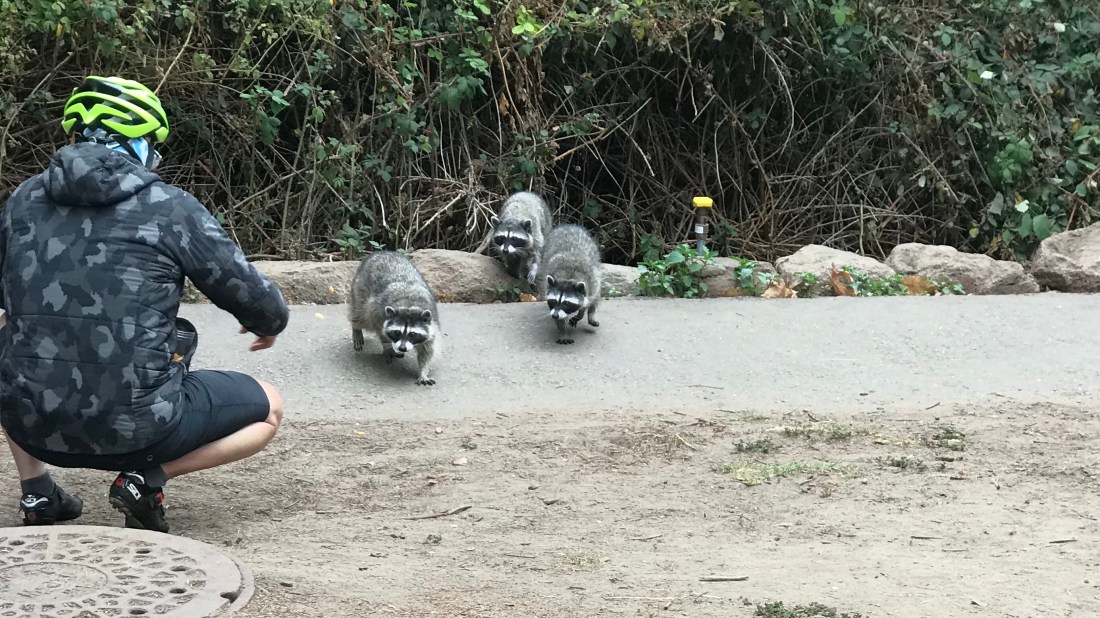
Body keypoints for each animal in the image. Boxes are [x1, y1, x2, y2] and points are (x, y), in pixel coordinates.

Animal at [348, 251, 441, 385]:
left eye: (413, 334)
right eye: (397, 332)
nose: (402, 348)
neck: (409, 306)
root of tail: (381, 252)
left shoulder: (432, 322)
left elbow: (427, 350)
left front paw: (423, 371)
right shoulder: (378, 313)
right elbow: (381, 331)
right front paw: (388, 347)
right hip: (360, 290)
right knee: (361, 315)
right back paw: (356, 328)